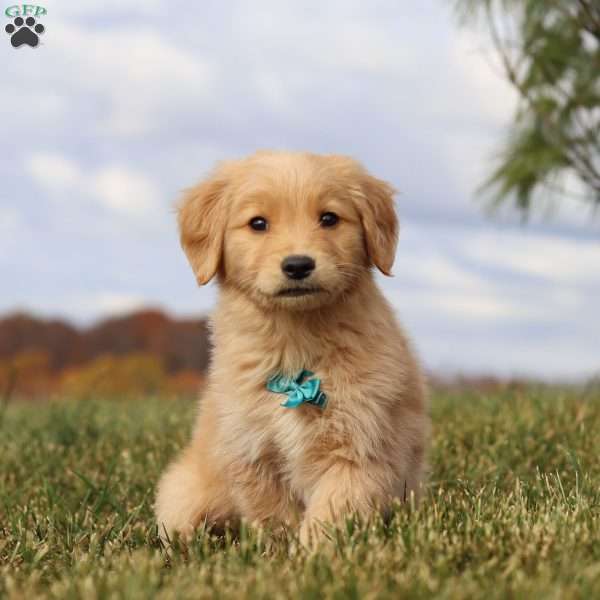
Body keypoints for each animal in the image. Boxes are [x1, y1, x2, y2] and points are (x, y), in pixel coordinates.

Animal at [155, 149, 426, 544]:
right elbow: (274, 514)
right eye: (258, 223)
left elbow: (335, 507)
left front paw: (315, 550)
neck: (296, 342)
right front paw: (282, 549)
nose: (298, 265)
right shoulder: (251, 450)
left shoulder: (362, 446)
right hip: (185, 493)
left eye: (329, 218)